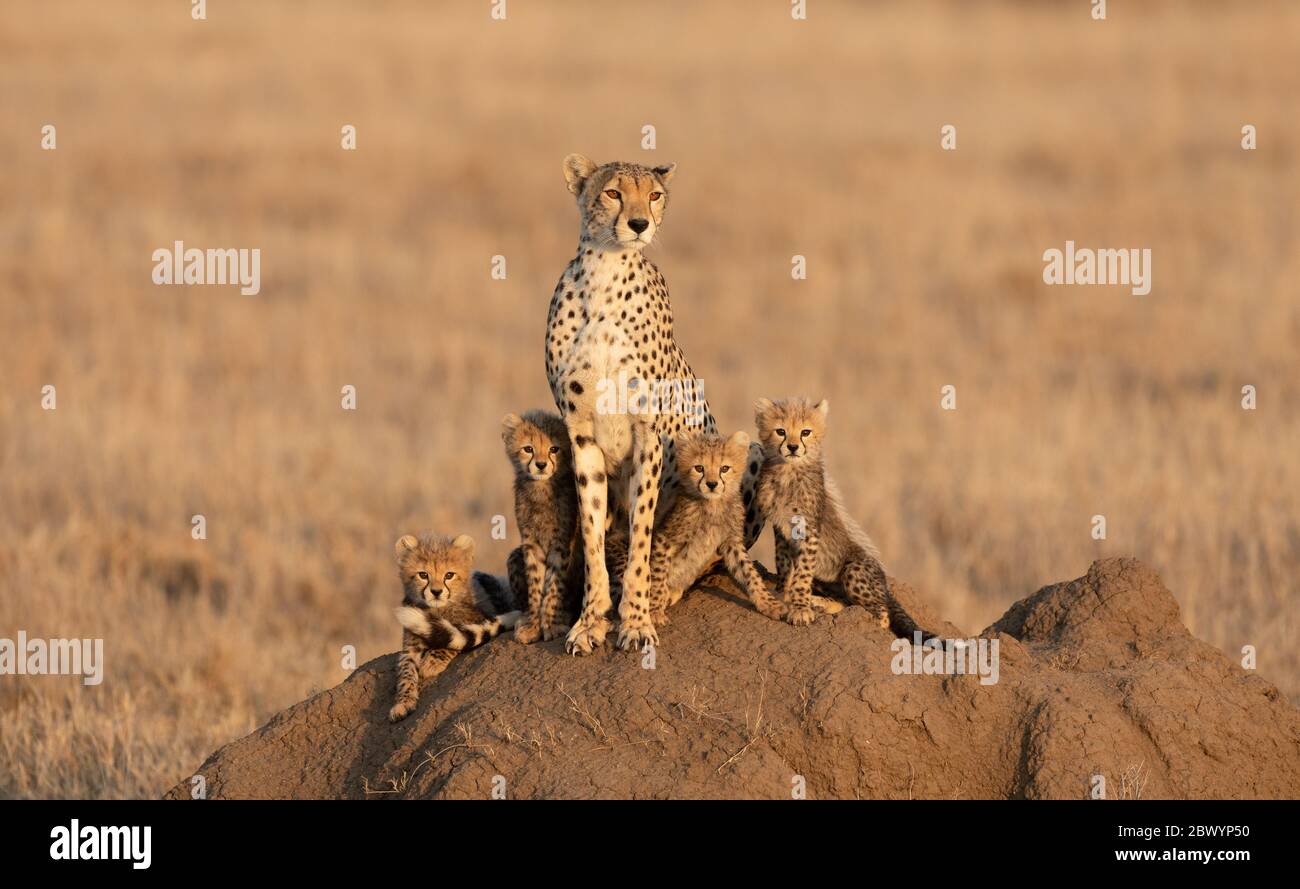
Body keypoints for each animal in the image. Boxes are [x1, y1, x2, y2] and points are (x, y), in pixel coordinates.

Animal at [546, 154, 764, 652]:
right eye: (612, 192)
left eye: (655, 195)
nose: (639, 223)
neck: (604, 275)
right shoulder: (580, 436)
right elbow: (592, 534)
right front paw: (590, 621)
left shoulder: (649, 436)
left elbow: (643, 536)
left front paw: (636, 621)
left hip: (756, 453)